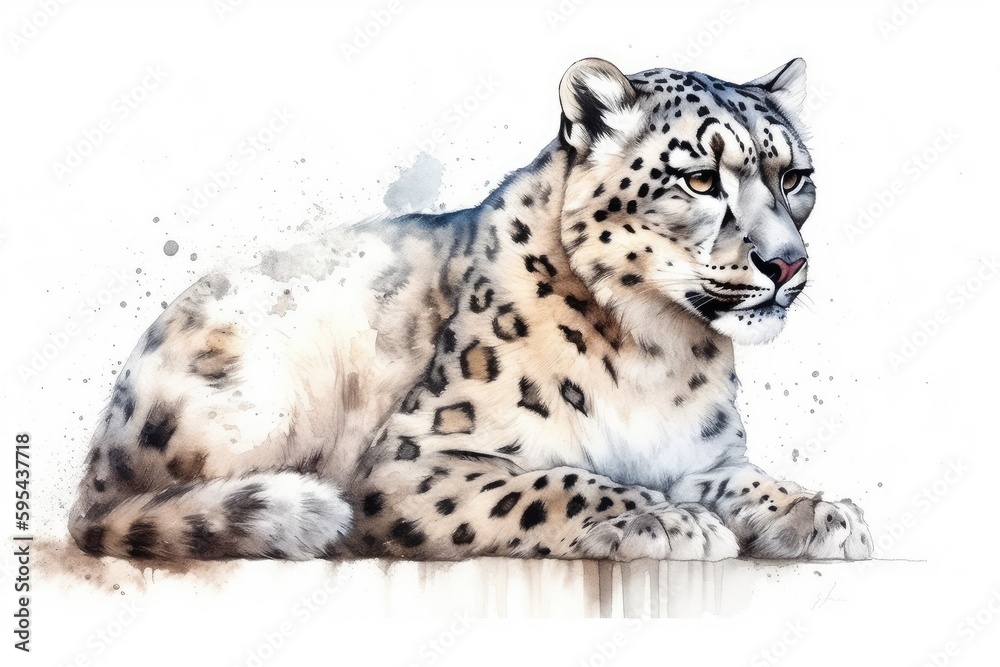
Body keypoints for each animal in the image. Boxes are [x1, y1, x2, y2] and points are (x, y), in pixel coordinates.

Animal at [68, 57, 873, 562]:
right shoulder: (416, 457)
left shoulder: (703, 456)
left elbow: (747, 479)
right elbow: (555, 482)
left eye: (795, 176)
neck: (660, 349)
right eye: (700, 178)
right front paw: (665, 518)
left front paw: (821, 510)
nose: (787, 262)